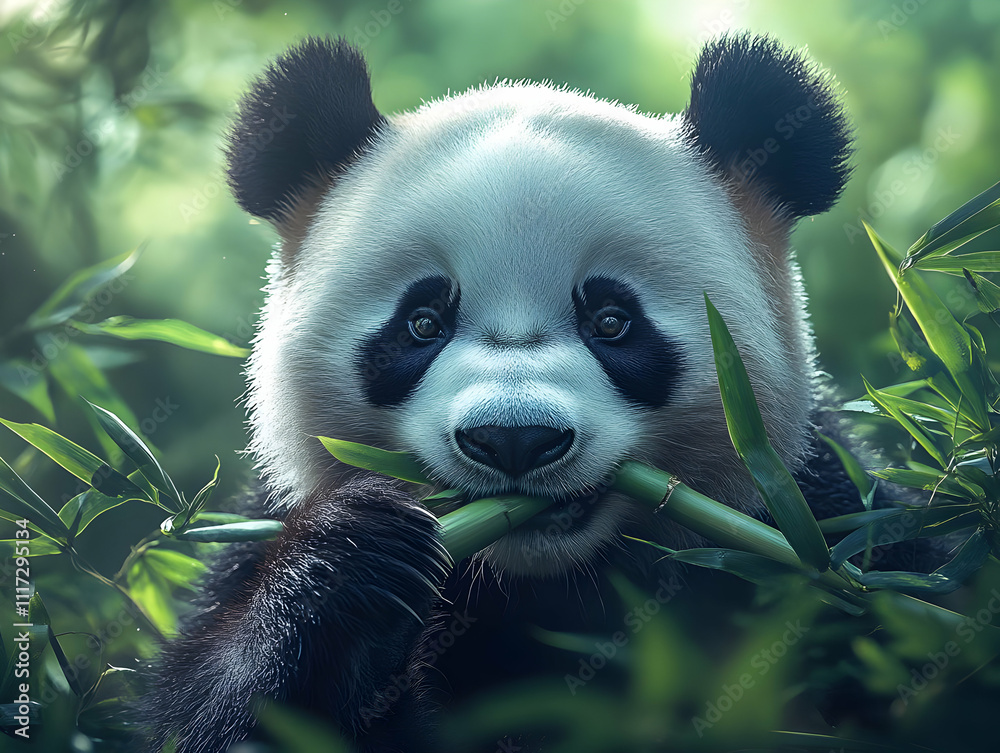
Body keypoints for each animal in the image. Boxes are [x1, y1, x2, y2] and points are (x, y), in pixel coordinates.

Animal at [141, 32, 905, 753]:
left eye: (612, 320)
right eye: (422, 322)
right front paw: (350, 568)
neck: (543, 583)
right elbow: (216, 713)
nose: (514, 439)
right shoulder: (255, 538)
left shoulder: (814, 530)